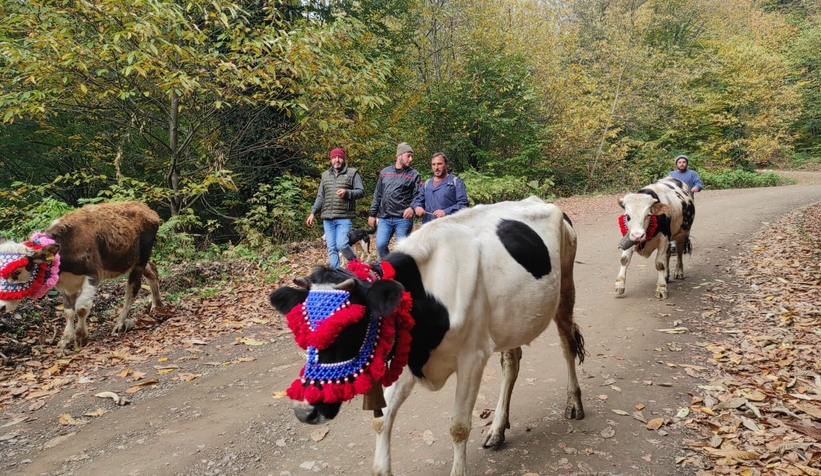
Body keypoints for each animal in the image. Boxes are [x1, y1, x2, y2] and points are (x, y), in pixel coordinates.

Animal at [0, 201, 162, 350]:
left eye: (17, 271)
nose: (1, 307)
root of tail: (145, 207)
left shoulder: (94, 274)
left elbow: (81, 307)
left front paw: (80, 337)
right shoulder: (65, 284)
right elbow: (68, 311)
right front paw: (65, 339)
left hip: (141, 258)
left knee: (132, 289)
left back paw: (119, 323)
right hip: (132, 259)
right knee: (152, 271)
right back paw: (158, 305)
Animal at [270, 195, 584, 474]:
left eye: (349, 327)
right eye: (301, 330)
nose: (304, 411)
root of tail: (542, 202)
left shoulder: (472, 358)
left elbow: (459, 427)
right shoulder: (409, 353)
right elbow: (382, 420)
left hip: (566, 287)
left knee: (567, 345)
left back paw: (574, 403)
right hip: (510, 319)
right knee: (511, 362)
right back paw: (497, 429)